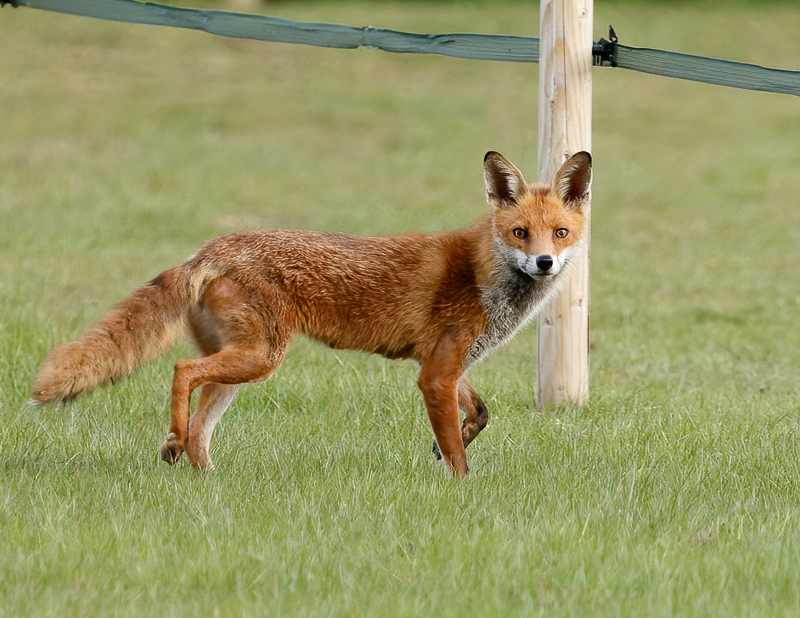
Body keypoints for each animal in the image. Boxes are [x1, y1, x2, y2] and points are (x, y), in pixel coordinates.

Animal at [30, 150, 591, 477]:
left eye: (559, 233)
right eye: (520, 233)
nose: (544, 263)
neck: (483, 273)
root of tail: (209, 249)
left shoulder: (442, 364)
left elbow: (478, 413)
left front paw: (440, 449)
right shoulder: (435, 374)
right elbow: (458, 454)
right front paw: (459, 490)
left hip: (240, 367)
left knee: (200, 426)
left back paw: (198, 470)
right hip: (260, 358)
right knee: (182, 371)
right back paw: (174, 439)